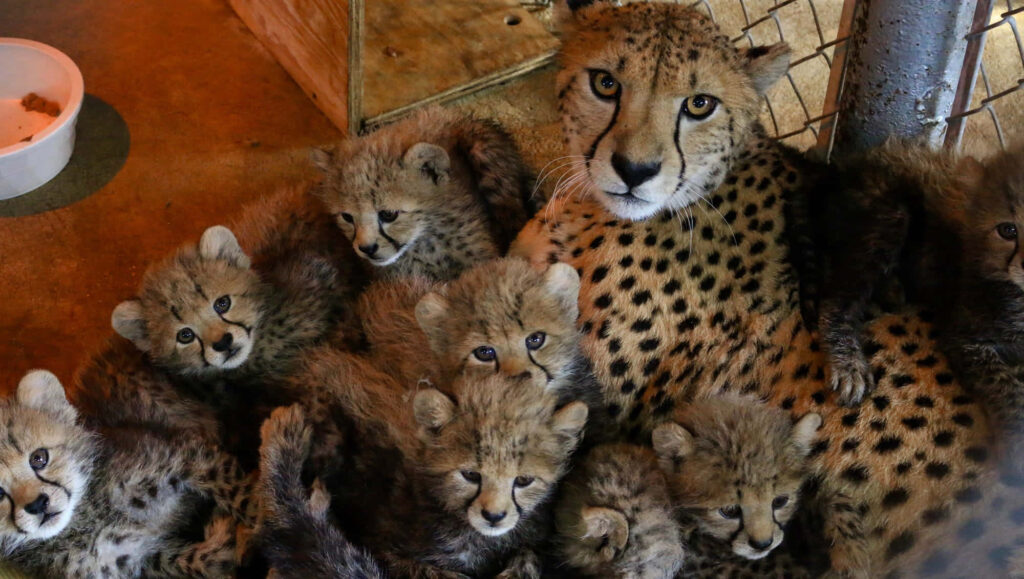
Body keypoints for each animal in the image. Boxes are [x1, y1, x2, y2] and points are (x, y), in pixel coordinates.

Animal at [2, 370, 252, 578]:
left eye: (39, 458)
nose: (38, 504)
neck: (86, 518)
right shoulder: (140, 558)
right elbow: (203, 559)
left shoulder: (184, 458)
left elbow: (240, 492)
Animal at [257, 371, 589, 578]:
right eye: (471, 474)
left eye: (523, 480)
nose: (494, 516)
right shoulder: (383, 544)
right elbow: (433, 572)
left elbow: (531, 553)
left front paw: (517, 570)